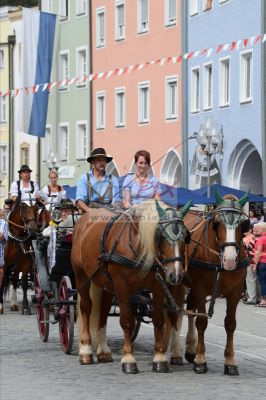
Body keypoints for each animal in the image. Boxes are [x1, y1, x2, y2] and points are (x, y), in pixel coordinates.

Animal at [71, 198, 191, 374]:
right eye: (162, 236)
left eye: (184, 238)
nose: (176, 275)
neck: (138, 246)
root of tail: (86, 216)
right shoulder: (122, 288)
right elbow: (127, 321)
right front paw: (128, 359)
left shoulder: (158, 288)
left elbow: (158, 320)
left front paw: (159, 358)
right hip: (82, 277)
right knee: (86, 308)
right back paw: (85, 351)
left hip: (106, 283)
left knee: (103, 311)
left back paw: (103, 351)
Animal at [182, 190, 250, 376]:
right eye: (218, 222)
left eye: (244, 224)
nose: (229, 259)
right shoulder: (200, 289)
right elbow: (201, 322)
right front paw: (200, 360)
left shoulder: (235, 293)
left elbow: (230, 323)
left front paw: (230, 361)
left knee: (189, 308)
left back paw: (190, 348)